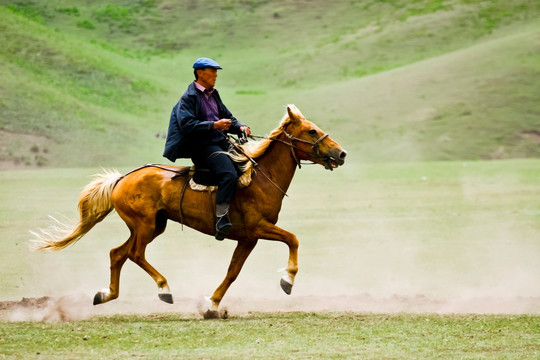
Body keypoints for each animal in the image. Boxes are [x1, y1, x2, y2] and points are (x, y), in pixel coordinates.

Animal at [32, 105, 346, 318]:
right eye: (312, 131)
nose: (340, 153)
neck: (259, 177)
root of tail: (122, 179)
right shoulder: (259, 228)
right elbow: (293, 239)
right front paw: (287, 280)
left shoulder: (248, 239)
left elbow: (232, 272)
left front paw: (212, 305)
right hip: (145, 226)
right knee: (134, 254)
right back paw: (164, 289)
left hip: (152, 226)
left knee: (117, 253)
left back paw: (105, 294)